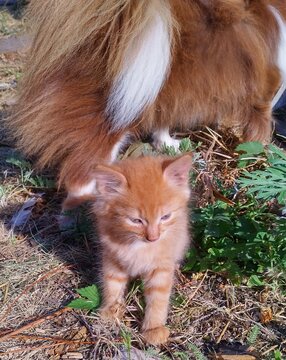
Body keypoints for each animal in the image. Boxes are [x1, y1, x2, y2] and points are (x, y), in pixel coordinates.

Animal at [84, 153, 192, 344]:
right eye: (136, 221)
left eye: (165, 217)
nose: (153, 237)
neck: (139, 247)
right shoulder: (112, 257)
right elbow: (112, 283)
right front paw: (110, 310)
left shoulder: (161, 266)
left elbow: (158, 297)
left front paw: (153, 328)